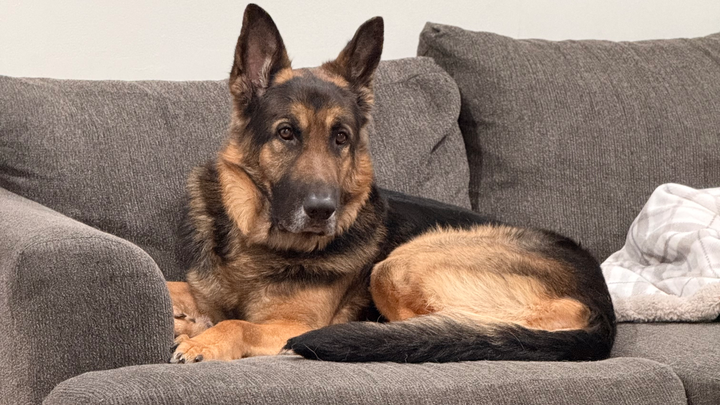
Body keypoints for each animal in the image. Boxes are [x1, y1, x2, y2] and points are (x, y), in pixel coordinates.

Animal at [169, 3, 616, 364]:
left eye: (341, 137)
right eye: (286, 133)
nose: (322, 211)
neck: (260, 245)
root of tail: (602, 307)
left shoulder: (288, 325)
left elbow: (238, 324)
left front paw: (203, 339)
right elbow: (179, 287)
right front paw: (184, 313)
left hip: (396, 267)